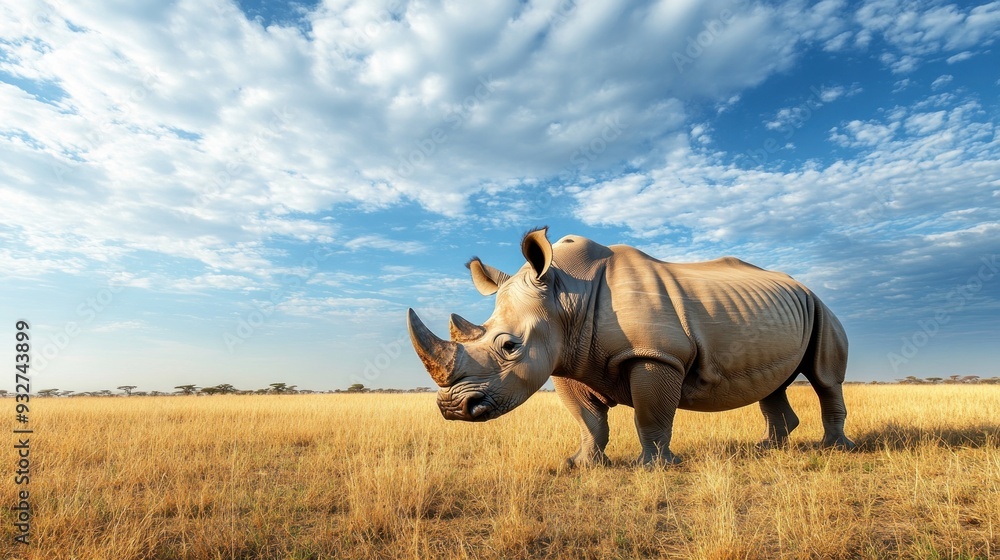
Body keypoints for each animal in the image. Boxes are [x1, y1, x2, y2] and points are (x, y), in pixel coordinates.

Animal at [407, 228, 855, 466]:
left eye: (509, 346)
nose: (453, 409)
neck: (565, 296)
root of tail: (802, 284)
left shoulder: (656, 355)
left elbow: (650, 414)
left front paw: (652, 467)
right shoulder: (566, 359)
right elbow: (589, 421)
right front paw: (581, 465)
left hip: (821, 306)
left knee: (824, 377)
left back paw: (834, 448)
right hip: (786, 310)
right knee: (773, 383)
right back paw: (768, 448)